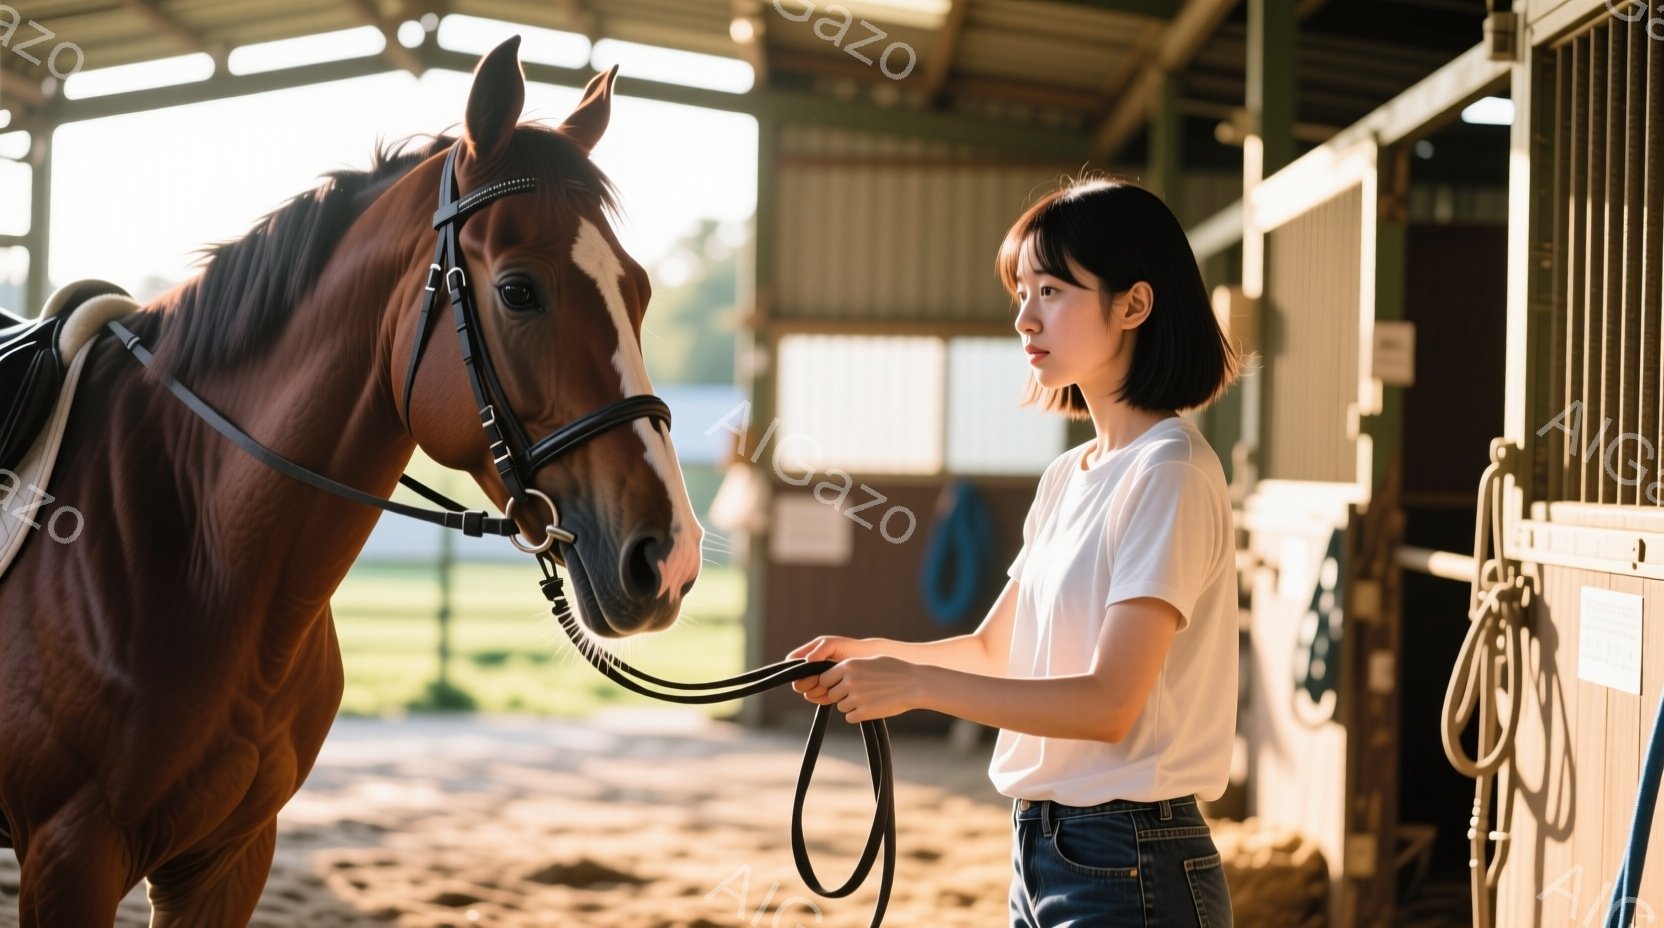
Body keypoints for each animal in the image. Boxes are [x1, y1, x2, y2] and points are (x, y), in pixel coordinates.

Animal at [0, 37, 703, 926]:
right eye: (518, 290)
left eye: (638, 290)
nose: (668, 558)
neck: (198, 549)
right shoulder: (71, 858)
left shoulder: (228, 860)